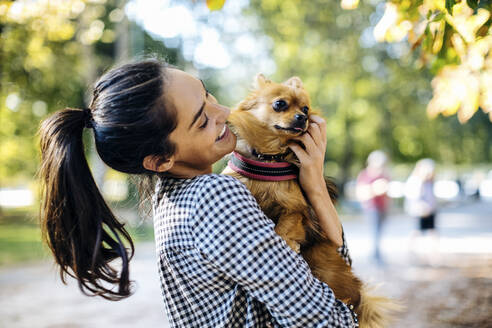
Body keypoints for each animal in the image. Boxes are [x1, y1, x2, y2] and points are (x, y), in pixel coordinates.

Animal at [221, 74, 398, 328]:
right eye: (280, 104)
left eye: (305, 108)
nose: (303, 118)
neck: (269, 158)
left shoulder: (297, 209)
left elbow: (285, 225)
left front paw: (286, 241)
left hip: (323, 262)